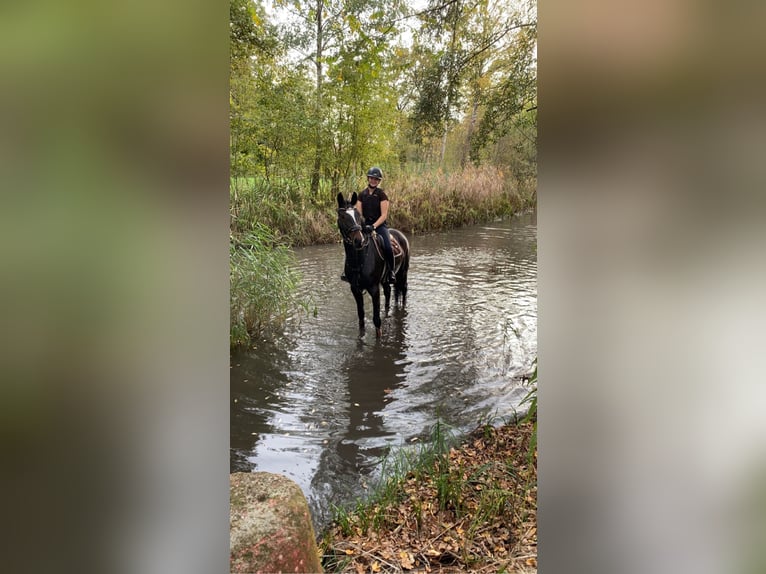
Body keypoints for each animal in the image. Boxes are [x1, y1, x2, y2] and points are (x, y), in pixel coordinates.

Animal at [338, 194, 412, 338]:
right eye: (343, 216)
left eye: (357, 215)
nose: (358, 240)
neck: (359, 259)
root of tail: (401, 235)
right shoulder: (355, 289)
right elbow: (361, 317)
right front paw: (361, 336)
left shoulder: (374, 289)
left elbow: (377, 320)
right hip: (385, 280)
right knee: (389, 293)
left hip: (403, 272)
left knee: (404, 289)